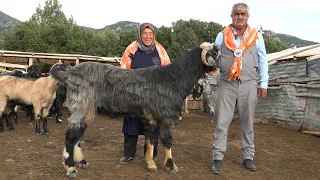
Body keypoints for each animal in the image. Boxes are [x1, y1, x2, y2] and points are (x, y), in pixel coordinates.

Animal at [49, 42, 220, 177]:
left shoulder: (152, 117)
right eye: (214, 54)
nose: (219, 70)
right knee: (71, 136)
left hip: (87, 110)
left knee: (78, 135)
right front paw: (171, 166)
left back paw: (81, 162)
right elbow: (167, 140)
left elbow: (151, 139)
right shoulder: (165, 116)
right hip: (81, 106)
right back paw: (71, 168)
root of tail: (70, 72)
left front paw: (151, 162)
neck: (174, 78)